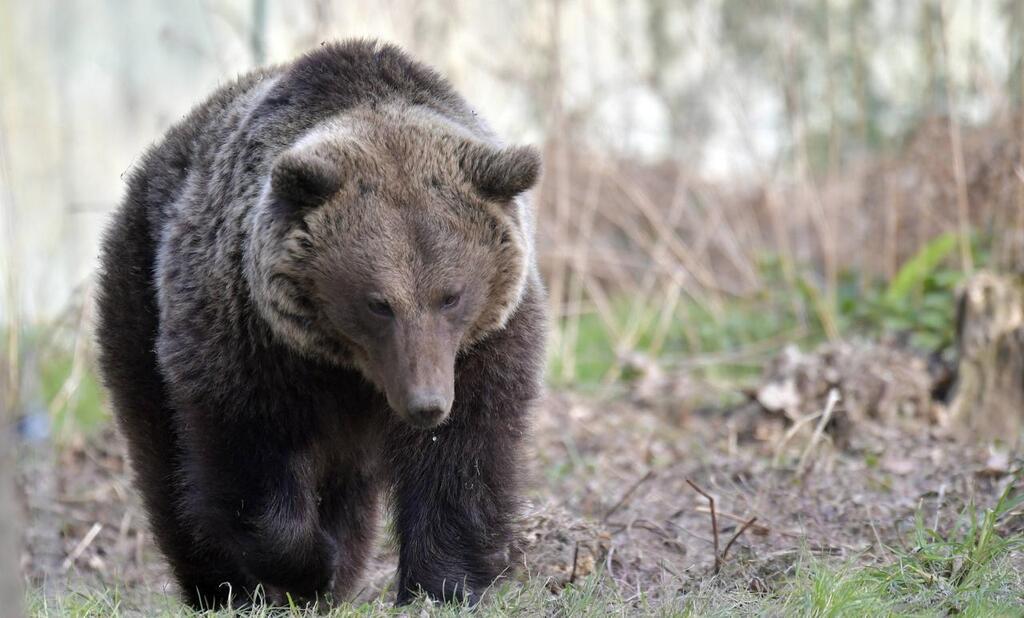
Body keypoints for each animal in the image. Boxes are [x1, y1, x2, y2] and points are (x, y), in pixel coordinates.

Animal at [94, 40, 544, 609]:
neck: (349, 367)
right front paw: (307, 566)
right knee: (165, 456)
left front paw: (442, 584)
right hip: (139, 292)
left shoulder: (482, 347)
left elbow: (462, 458)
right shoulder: (248, 340)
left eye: (451, 295)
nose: (426, 403)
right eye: (378, 303)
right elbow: (244, 459)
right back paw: (223, 587)